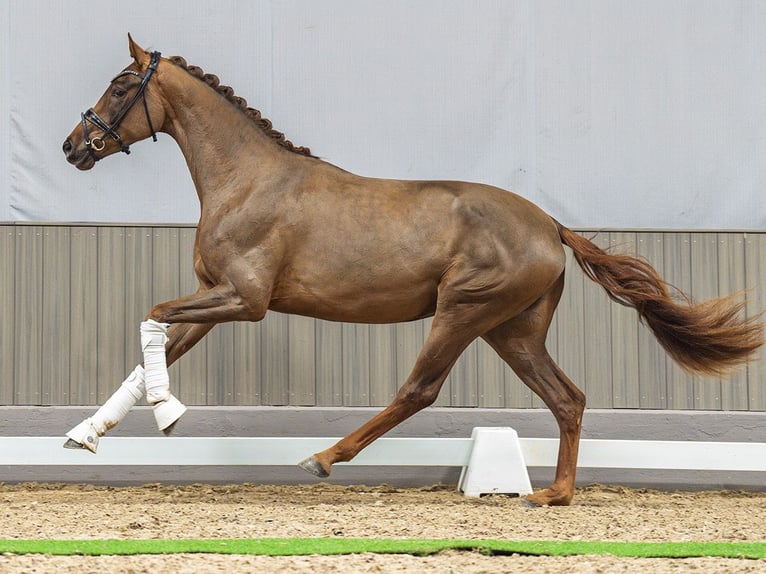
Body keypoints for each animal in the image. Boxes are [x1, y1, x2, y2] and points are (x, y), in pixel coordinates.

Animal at [63, 36, 764, 506]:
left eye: (121, 87)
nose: (74, 147)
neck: (247, 181)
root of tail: (549, 225)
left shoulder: (244, 299)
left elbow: (151, 319)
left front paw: (168, 414)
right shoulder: (215, 297)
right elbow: (152, 349)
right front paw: (84, 435)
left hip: (463, 311)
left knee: (419, 389)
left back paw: (323, 459)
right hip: (512, 331)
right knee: (568, 398)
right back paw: (554, 494)